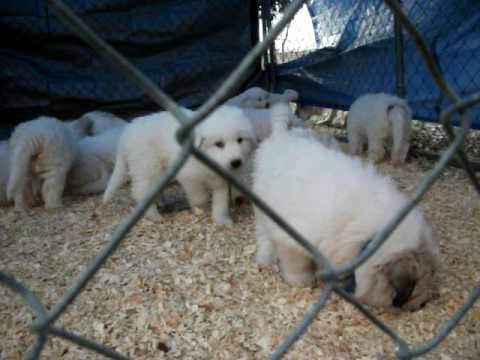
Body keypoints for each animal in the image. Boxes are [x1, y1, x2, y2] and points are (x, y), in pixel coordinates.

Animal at [103, 105, 256, 225]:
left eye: (240, 140)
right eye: (219, 144)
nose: (236, 162)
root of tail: (126, 133)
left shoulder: (221, 181)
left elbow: (220, 202)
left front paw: (222, 220)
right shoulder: (189, 176)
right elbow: (200, 197)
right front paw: (200, 207)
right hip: (147, 167)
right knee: (141, 192)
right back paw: (154, 216)